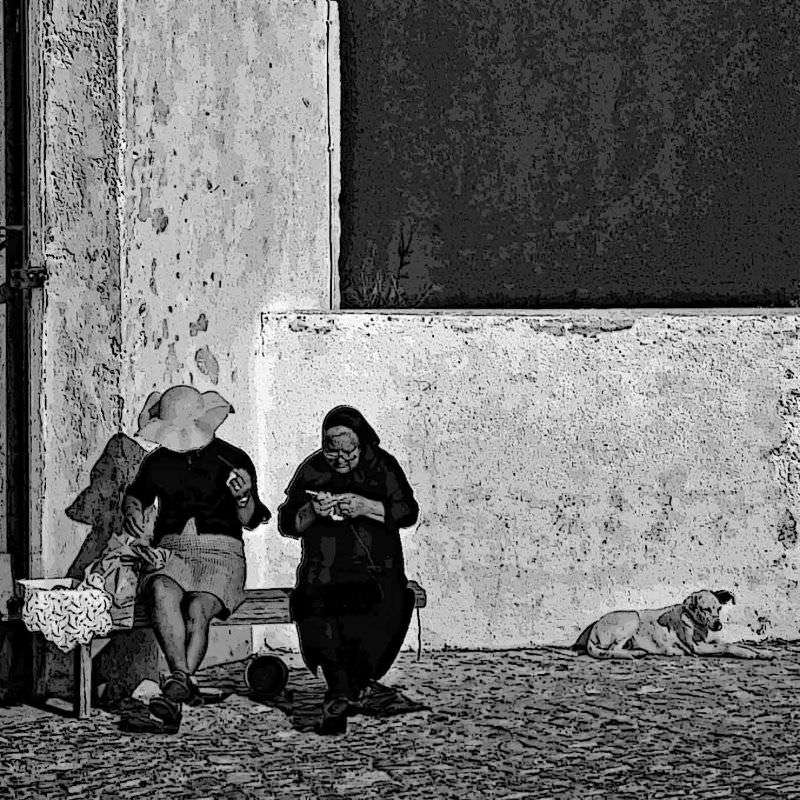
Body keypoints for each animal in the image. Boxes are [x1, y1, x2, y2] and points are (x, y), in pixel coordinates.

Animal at [572, 592, 772, 660]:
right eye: (705, 609)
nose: (718, 625)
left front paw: (763, 652)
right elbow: (729, 646)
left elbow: (736, 643)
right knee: (612, 650)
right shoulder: (699, 647)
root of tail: (594, 627)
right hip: (632, 618)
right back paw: (637, 653)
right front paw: (747, 653)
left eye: (719, 608)